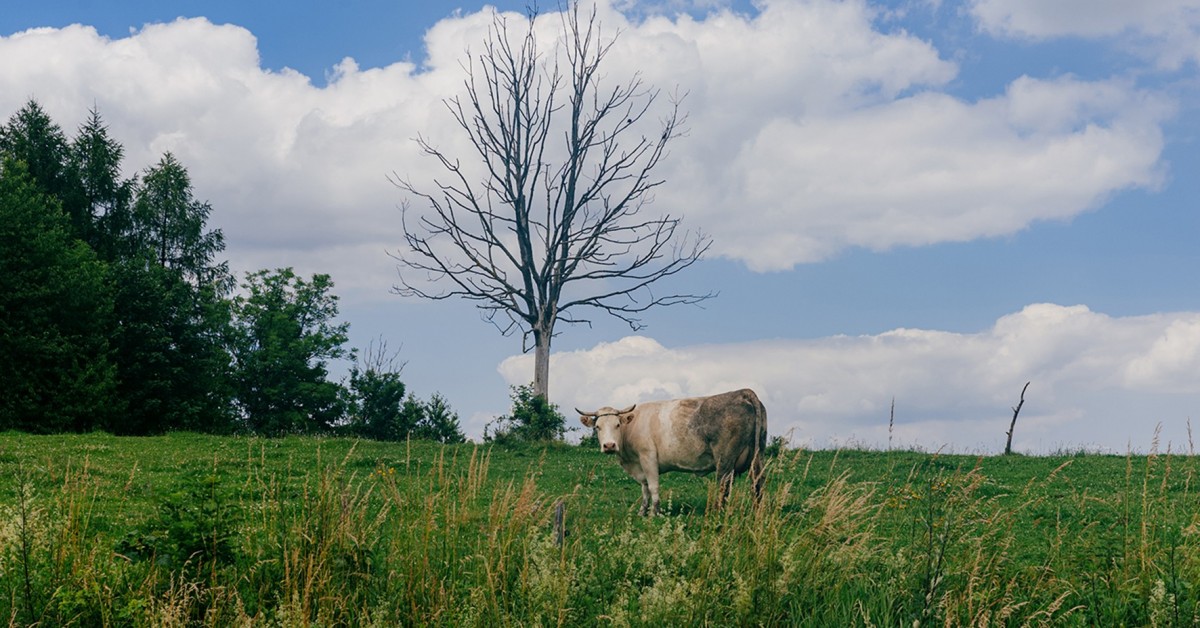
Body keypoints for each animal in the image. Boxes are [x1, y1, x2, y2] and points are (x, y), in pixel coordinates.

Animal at [573, 389, 763, 516]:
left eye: (617, 425)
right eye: (597, 427)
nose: (609, 445)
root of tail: (743, 392)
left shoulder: (648, 457)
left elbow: (653, 486)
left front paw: (654, 513)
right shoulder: (640, 465)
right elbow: (645, 489)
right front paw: (642, 511)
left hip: (725, 461)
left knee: (725, 485)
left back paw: (718, 512)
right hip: (757, 458)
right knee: (758, 483)